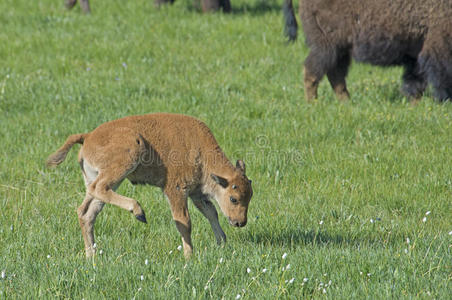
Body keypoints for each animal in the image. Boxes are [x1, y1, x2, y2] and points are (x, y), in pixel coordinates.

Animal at [47, 113, 252, 258]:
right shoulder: (176, 190)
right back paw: (139, 212)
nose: (240, 222)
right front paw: (189, 255)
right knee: (99, 189)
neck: (201, 151)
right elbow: (185, 222)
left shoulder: (197, 194)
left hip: (105, 179)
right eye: (234, 198)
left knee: (86, 212)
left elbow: (212, 213)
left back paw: (92, 255)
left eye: (250, 197)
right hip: (129, 154)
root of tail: (88, 136)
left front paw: (222, 243)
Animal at [284, 0, 452, 101]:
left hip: (340, 50)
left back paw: (347, 103)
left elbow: (414, 83)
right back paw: (313, 103)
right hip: (327, 47)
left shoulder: (416, 55)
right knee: (312, 72)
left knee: (335, 75)